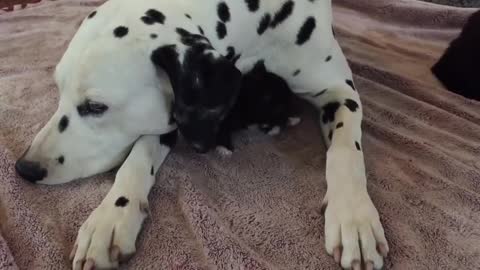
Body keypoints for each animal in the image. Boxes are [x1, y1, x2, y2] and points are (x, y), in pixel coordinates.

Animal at [15, 0, 390, 268]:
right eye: (58, 90)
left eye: (95, 107)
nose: (25, 168)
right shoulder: (173, 114)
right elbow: (138, 157)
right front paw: (111, 216)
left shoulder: (340, 92)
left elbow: (346, 151)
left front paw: (353, 214)